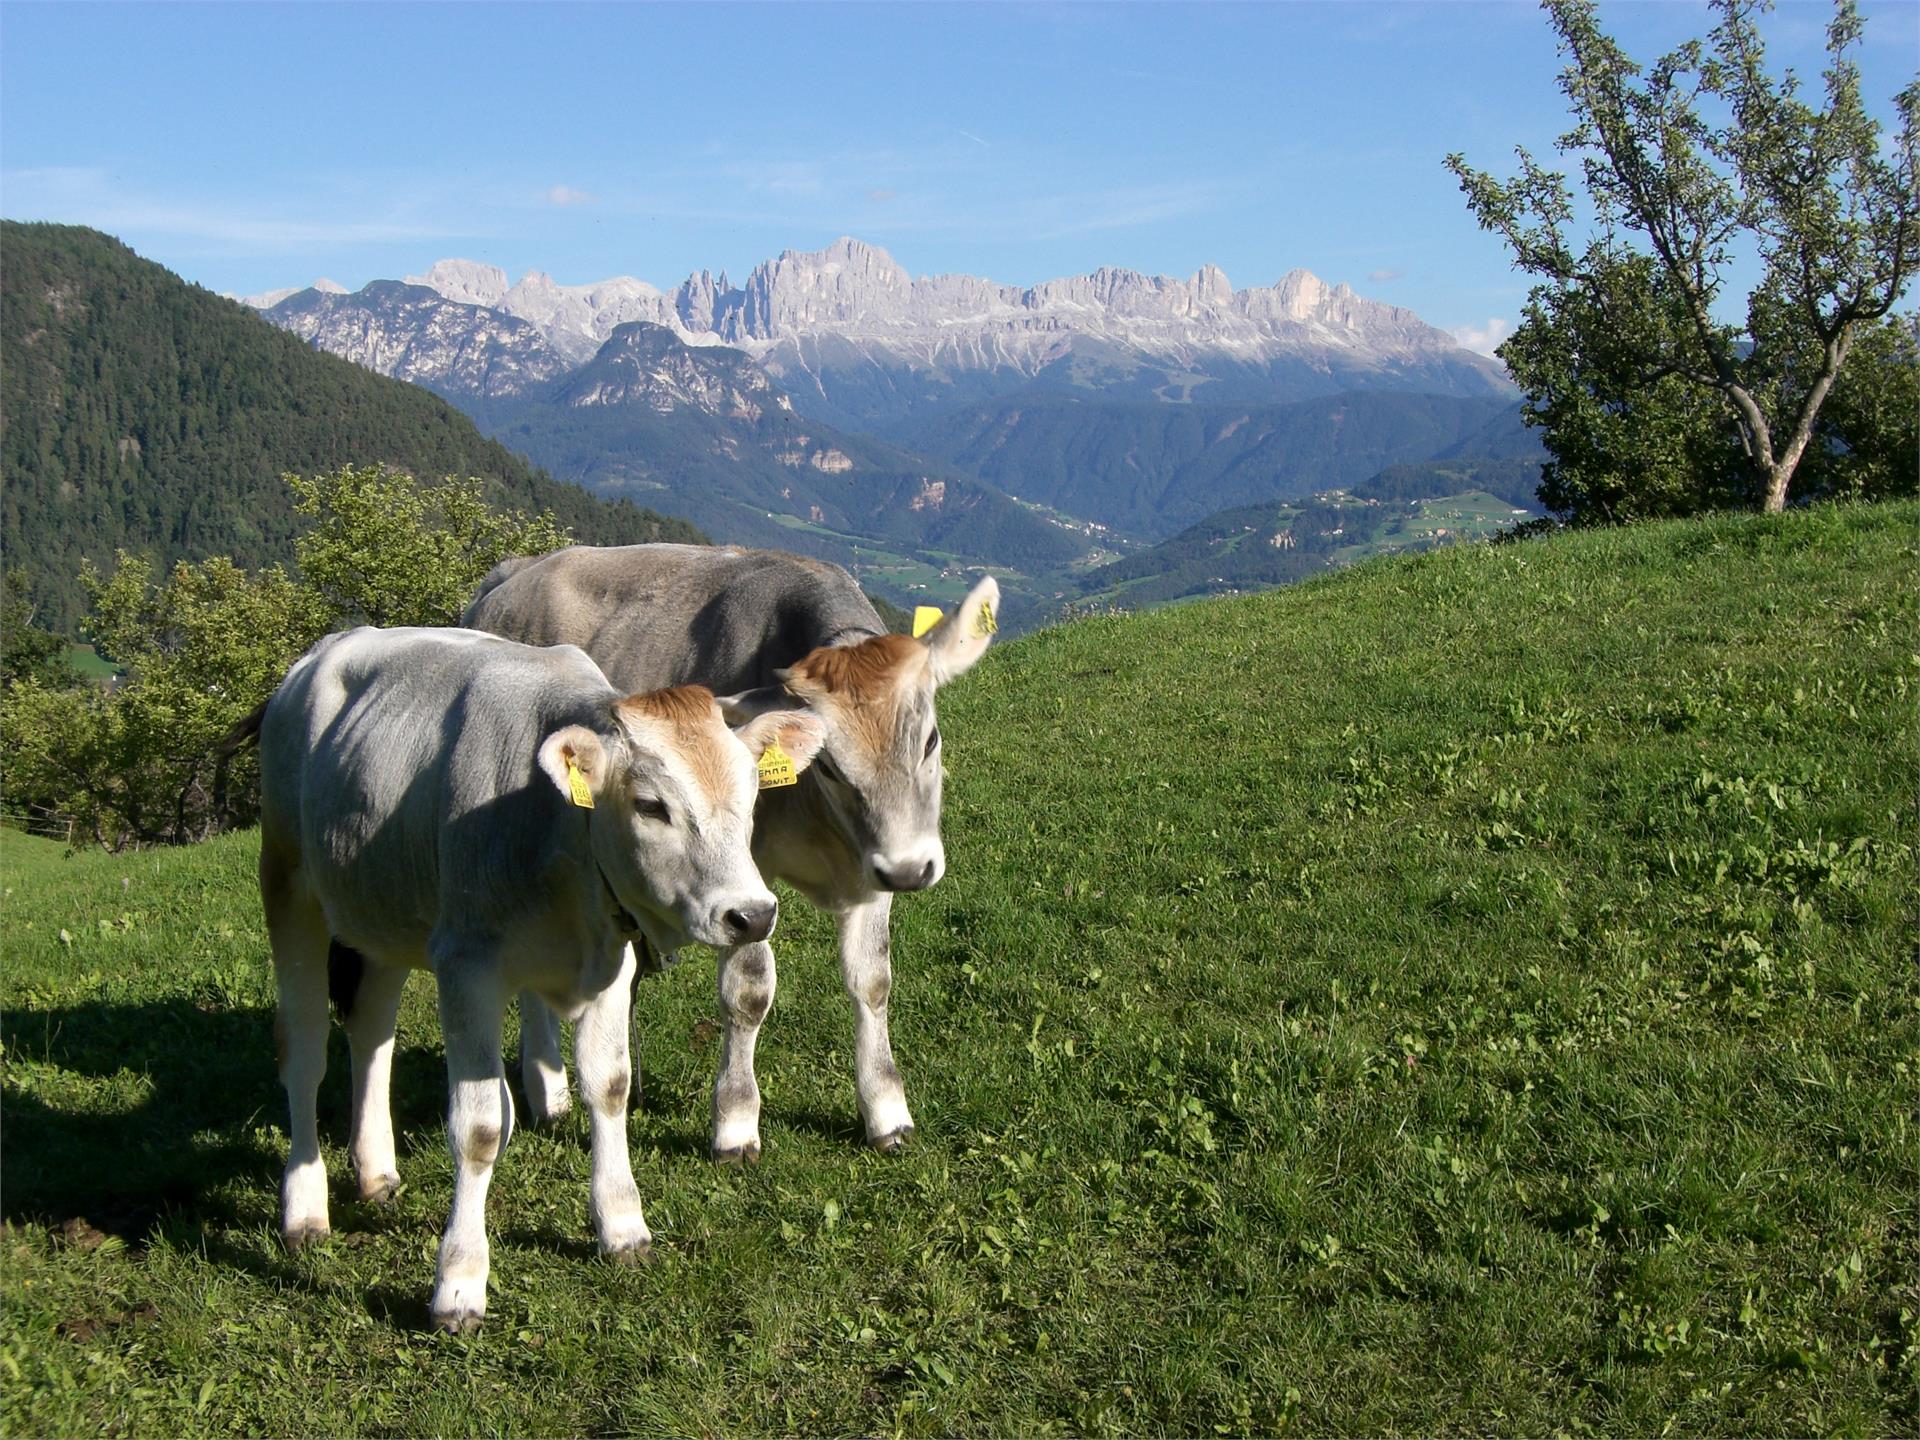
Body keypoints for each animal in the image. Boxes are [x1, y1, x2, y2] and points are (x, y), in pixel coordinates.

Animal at [253, 625, 817, 1336]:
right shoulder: (465, 964)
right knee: (303, 1054)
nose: (752, 914)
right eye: (651, 806)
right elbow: (479, 1128)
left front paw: (622, 1224)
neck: (560, 835)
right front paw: (459, 1282)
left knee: (371, 1032)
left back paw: (376, 1170)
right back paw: (305, 1208)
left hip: (382, 917)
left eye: (752, 795)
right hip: (289, 885)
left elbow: (610, 1088)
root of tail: (320, 654)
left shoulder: (613, 960)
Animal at [468, 541, 1006, 1159]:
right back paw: (548, 1093)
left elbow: (872, 981)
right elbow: (748, 991)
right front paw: (735, 1121)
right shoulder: (744, 876)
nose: (911, 869)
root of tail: (510, 574)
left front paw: (887, 1111)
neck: (818, 823)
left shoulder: (872, 864)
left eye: (930, 740)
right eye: (828, 764)